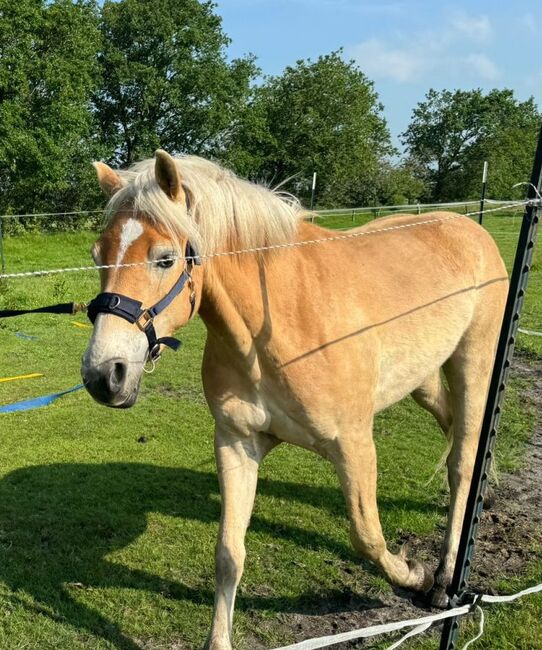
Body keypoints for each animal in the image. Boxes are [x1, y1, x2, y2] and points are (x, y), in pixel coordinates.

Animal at [81, 149, 510, 644]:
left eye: (165, 259)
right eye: (98, 255)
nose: (103, 374)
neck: (278, 324)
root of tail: (472, 231)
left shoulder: (354, 445)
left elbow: (368, 535)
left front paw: (414, 574)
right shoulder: (237, 442)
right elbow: (228, 553)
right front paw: (219, 639)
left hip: (473, 364)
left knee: (463, 460)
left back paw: (442, 578)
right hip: (422, 378)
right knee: (453, 430)